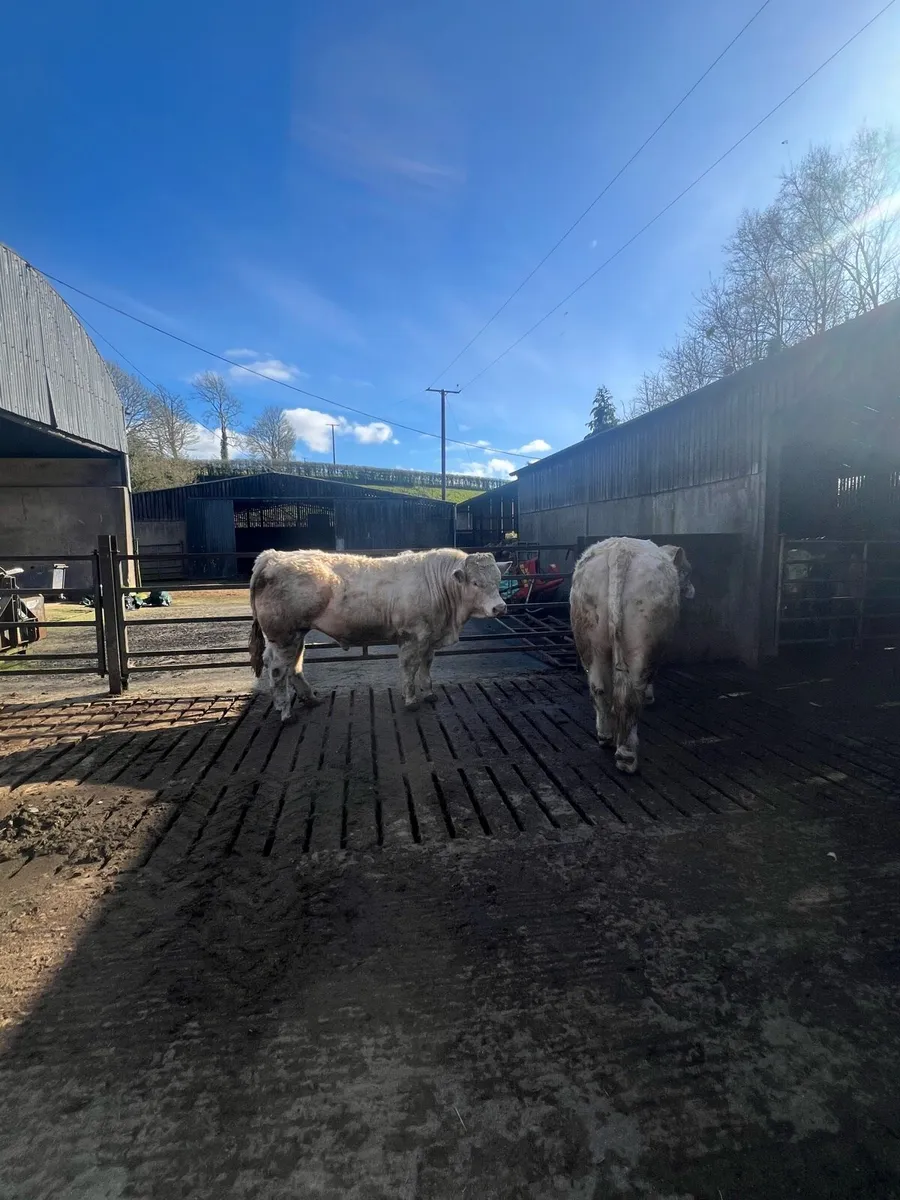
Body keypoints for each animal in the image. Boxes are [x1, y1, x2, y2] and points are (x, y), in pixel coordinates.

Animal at [248, 548, 510, 722]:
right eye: (475, 582)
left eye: (498, 580)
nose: (500, 608)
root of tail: (273, 556)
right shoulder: (413, 636)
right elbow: (409, 667)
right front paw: (411, 699)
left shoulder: (430, 637)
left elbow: (426, 666)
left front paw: (429, 693)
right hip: (284, 635)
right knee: (278, 669)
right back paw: (285, 712)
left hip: (295, 634)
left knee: (293, 666)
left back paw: (307, 699)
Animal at [570, 537, 694, 774]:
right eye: (685, 570)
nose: (692, 590)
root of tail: (620, 551)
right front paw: (651, 697)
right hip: (642, 640)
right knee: (632, 694)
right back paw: (627, 756)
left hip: (589, 636)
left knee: (599, 688)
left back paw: (605, 737)